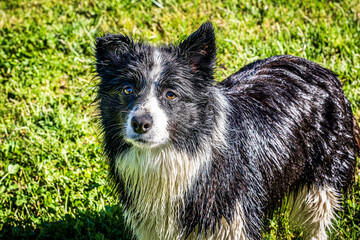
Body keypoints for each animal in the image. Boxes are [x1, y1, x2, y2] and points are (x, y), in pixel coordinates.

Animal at [94, 21, 358, 239]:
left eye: (171, 94)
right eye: (128, 90)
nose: (140, 123)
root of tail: (322, 70)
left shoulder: (234, 219)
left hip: (323, 178)